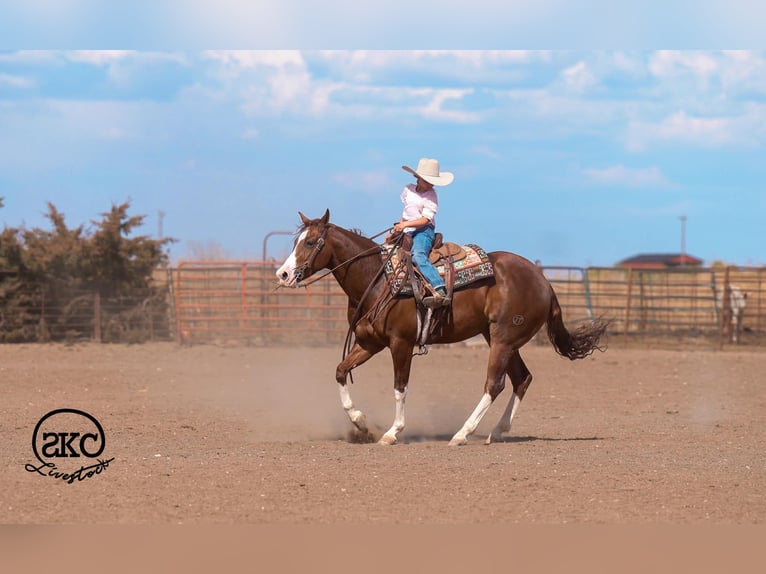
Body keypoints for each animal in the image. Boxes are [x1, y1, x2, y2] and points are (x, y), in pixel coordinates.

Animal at [276, 209, 608, 446]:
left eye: (310, 242)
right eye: (295, 241)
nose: (283, 274)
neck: (378, 278)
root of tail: (544, 282)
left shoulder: (400, 343)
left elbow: (400, 387)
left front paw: (392, 432)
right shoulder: (370, 343)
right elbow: (341, 371)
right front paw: (360, 423)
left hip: (503, 339)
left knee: (495, 384)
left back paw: (462, 434)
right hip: (500, 339)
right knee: (522, 379)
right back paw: (497, 431)